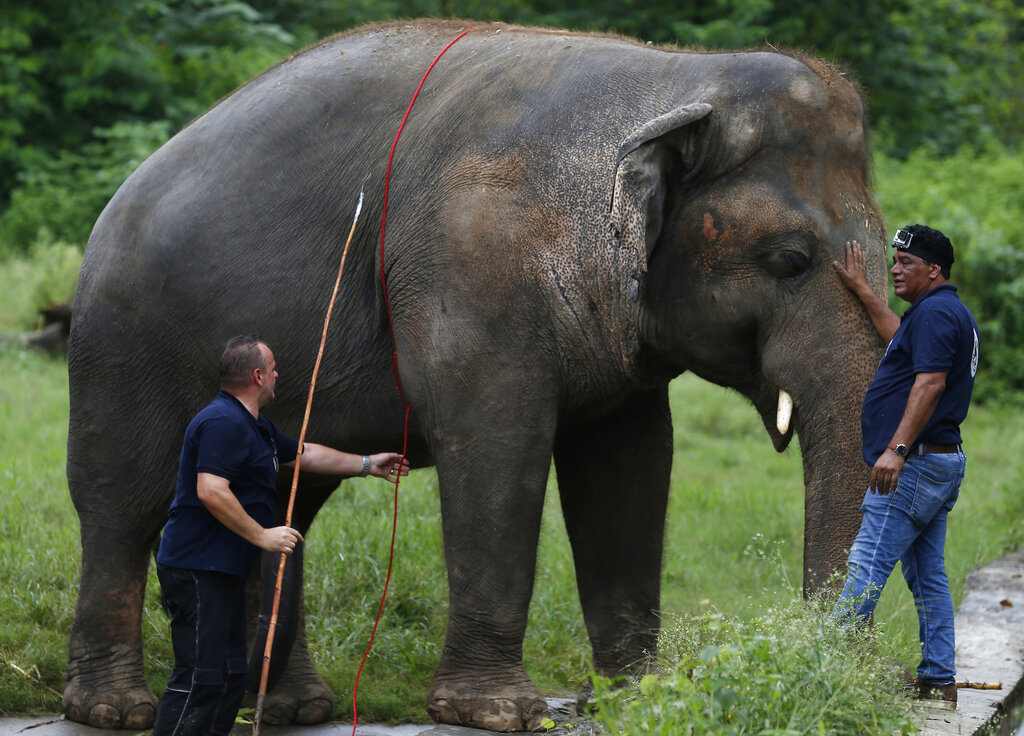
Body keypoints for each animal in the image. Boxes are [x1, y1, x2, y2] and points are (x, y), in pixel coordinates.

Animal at [64, 20, 888, 732]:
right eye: (790, 261)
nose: (828, 670)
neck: (675, 77)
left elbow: (630, 467)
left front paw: (642, 699)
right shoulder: (472, 268)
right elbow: (497, 447)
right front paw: (496, 714)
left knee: (285, 502)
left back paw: (296, 708)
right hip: (120, 346)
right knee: (121, 503)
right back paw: (115, 710)